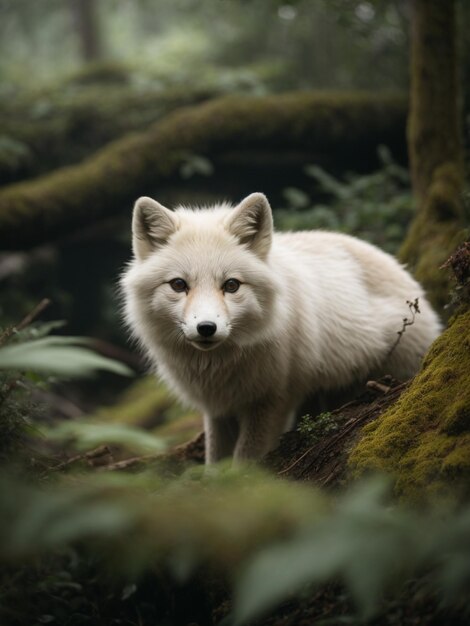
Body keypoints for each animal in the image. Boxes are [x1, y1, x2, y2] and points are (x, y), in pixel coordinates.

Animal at [120, 193, 440, 460]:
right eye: (178, 285)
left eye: (231, 285)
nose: (207, 328)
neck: (219, 367)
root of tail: (405, 274)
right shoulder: (218, 408)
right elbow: (215, 460)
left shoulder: (273, 400)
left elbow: (244, 460)